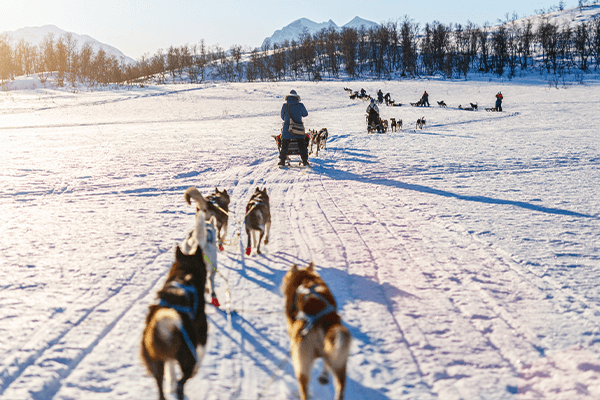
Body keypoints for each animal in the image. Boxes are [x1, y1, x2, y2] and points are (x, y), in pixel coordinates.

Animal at [141, 244, 209, 400]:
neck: (185, 272)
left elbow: (170, 368)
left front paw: (170, 383)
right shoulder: (202, 329)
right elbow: (202, 352)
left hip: (156, 364)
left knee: (161, 388)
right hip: (187, 359)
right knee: (182, 381)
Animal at [282, 262, 352, 400]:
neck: (305, 278)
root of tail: (319, 322)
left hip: (302, 365)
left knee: (304, 389)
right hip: (339, 362)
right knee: (340, 388)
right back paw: (325, 377)